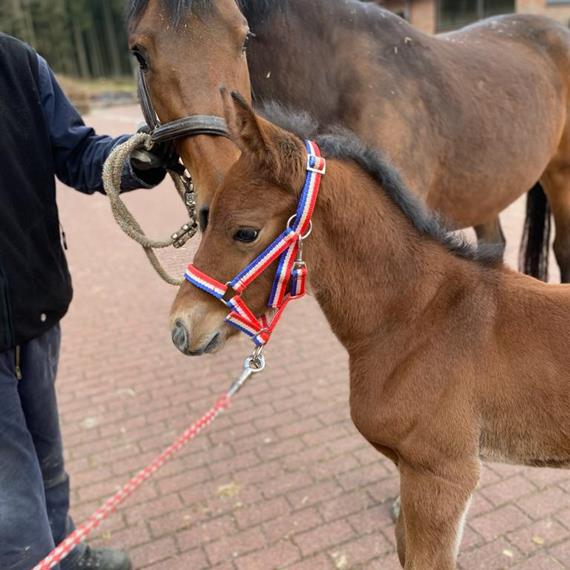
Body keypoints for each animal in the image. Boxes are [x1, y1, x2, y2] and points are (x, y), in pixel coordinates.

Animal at [171, 90, 568, 568]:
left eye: (245, 232)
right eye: (204, 217)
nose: (181, 326)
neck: (420, 317)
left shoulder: (442, 476)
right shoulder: (408, 472)